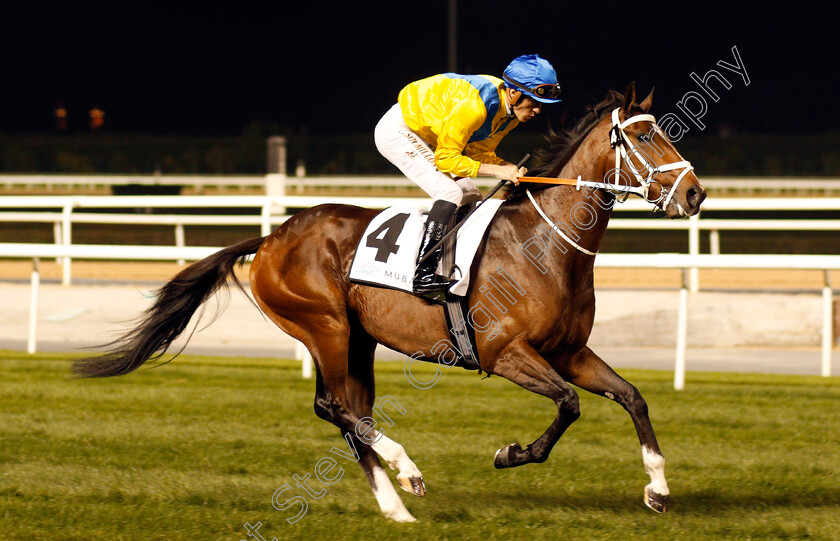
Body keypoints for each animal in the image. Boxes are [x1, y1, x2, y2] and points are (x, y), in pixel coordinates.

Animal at [72, 83, 704, 520]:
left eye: (667, 133)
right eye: (644, 137)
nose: (696, 193)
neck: (544, 246)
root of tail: (272, 237)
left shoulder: (569, 351)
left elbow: (633, 397)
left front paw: (657, 488)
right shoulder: (504, 353)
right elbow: (569, 405)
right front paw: (510, 453)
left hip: (359, 340)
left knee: (349, 414)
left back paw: (395, 506)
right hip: (324, 326)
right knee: (335, 407)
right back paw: (408, 471)